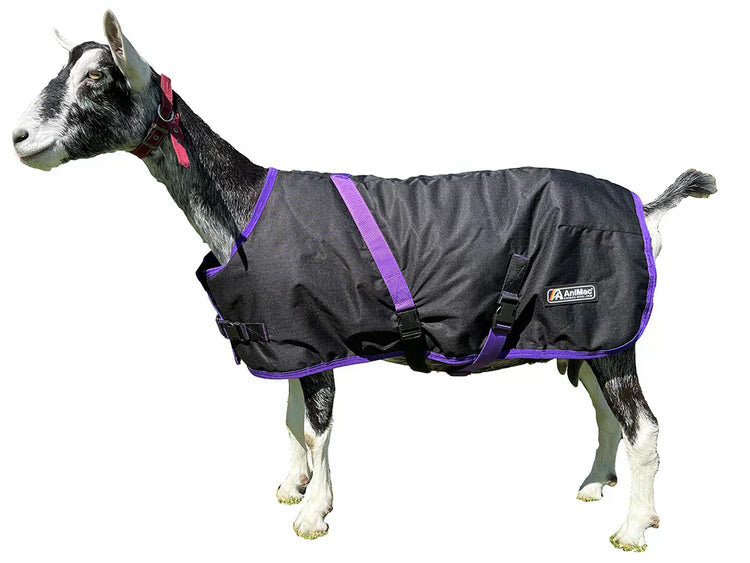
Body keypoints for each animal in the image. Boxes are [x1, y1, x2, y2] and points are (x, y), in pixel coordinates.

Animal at [12, 11, 716, 551]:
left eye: (97, 77)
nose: (18, 137)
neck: (244, 206)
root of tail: (645, 209)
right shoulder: (292, 339)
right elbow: (291, 417)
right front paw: (291, 488)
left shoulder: (319, 337)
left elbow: (317, 428)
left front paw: (312, 515)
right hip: (581, 334)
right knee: (604, 411)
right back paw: (598, 487)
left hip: (606, 328)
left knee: (645, 427)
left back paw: (633, 529)